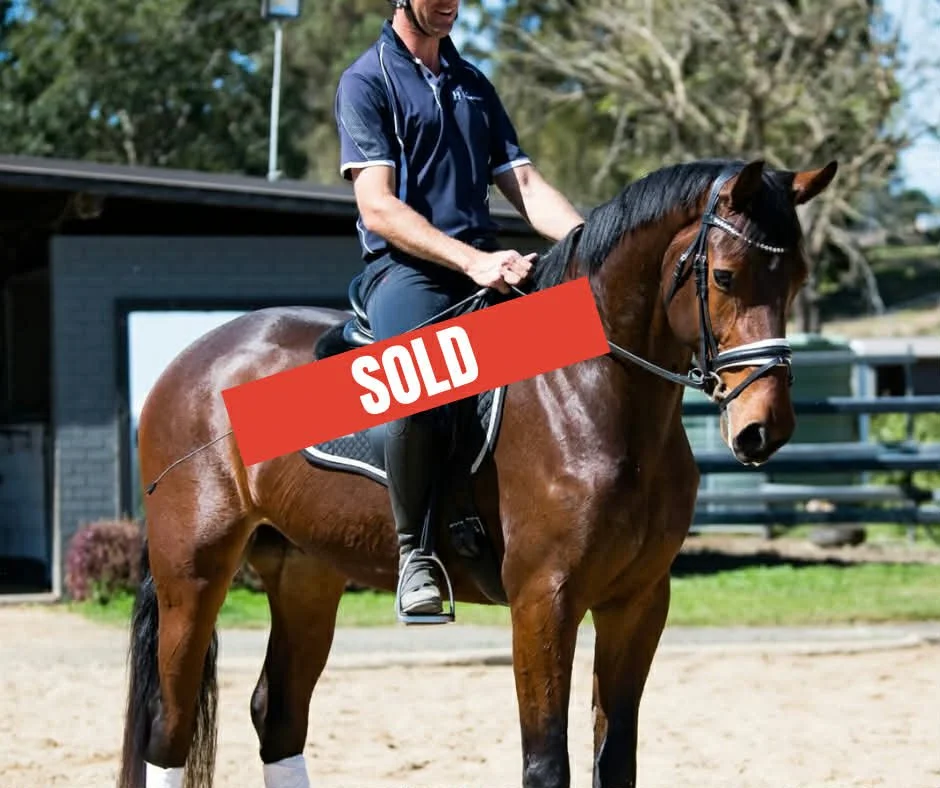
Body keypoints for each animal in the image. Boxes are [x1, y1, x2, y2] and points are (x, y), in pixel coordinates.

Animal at [116, 156, 837, 788]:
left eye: (799, 278)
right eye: (725, 277)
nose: (765, 428)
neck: (591, 394)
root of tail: (194, 358)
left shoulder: (637, 602)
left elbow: (615, 762)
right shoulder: (544, 600)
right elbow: (547, 764)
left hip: (305, 574)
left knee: (279, 715)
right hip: (193, 573)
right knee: (169, 730)